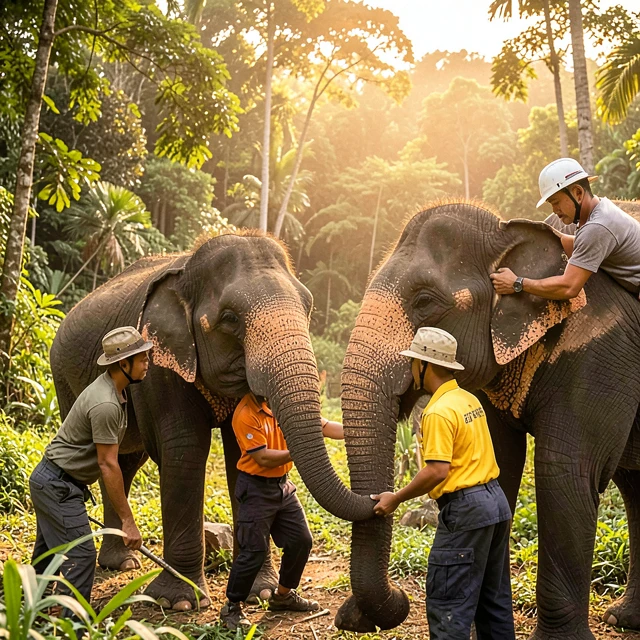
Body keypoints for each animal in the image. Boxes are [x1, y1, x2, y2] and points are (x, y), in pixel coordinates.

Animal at [50, 231, 373, 610]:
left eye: (308, 306)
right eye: (230, 318)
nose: (377, 500)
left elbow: (239, 457)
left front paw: (260, 593)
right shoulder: (159, 364)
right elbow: (186, 451)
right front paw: (180, 602)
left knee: (124, 462)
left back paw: (123, 562)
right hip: (64, 379)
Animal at [334, 201, 640, 640]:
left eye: (424, 301)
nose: (352, 617)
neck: (508, 231)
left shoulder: (599, 350)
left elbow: (565, 471)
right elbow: (501, 465)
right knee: (634, 484)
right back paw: (623, 618)